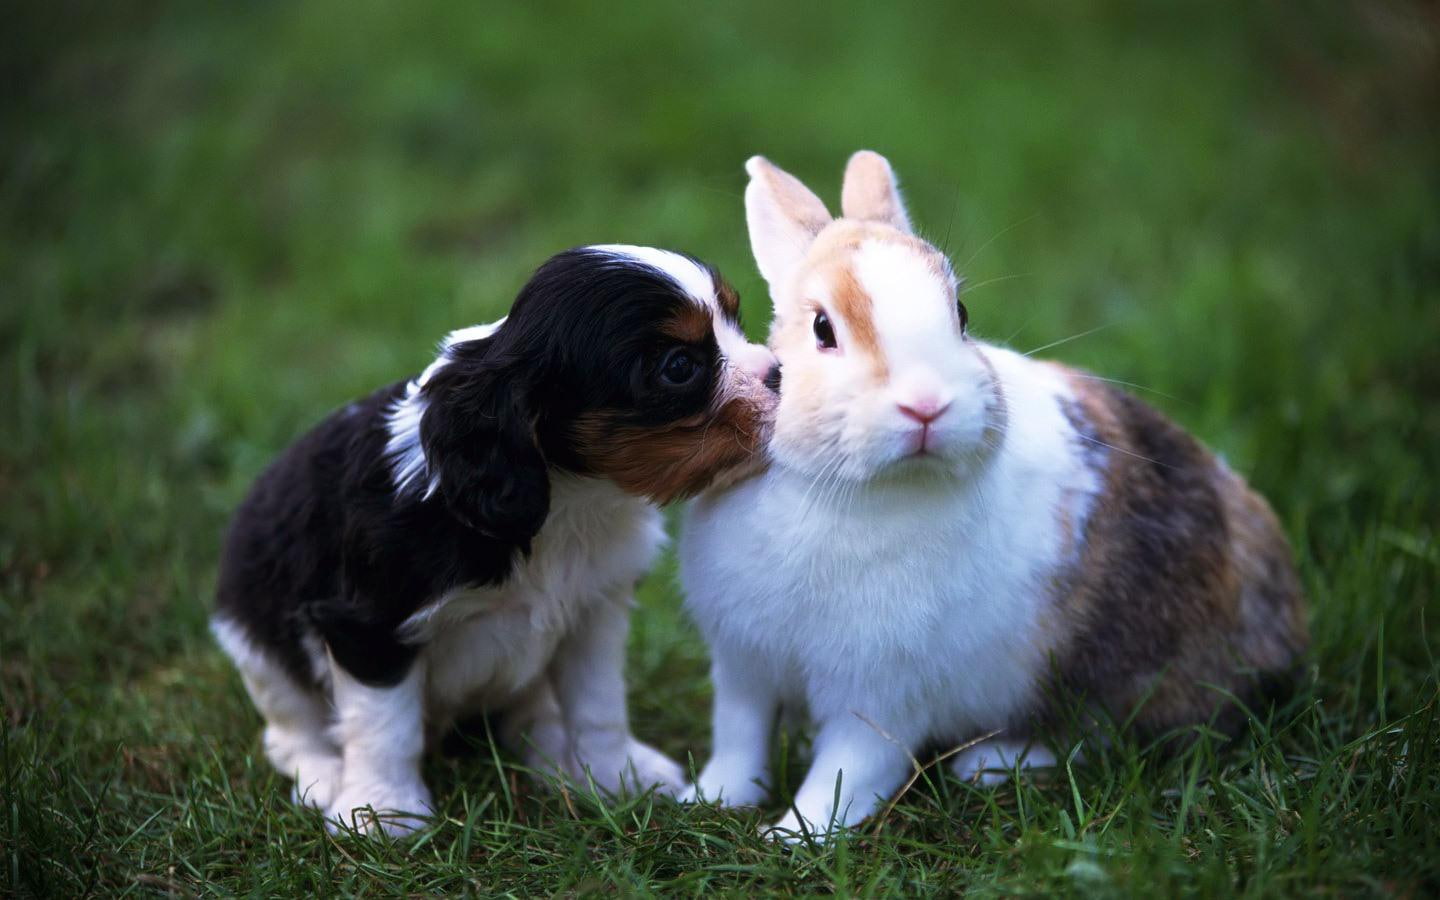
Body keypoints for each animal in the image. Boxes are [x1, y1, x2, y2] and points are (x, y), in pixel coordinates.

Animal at [677, 152, 1307, 839]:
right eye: (823, 328)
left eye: (962, 315)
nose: (927, 405)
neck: (842, 487)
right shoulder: (743, 666)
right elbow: (739, 741)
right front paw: (706, 799)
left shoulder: (881, 694)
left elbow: (847, 770)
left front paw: (796, 834)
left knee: (1103, 735)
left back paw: (991, 763)